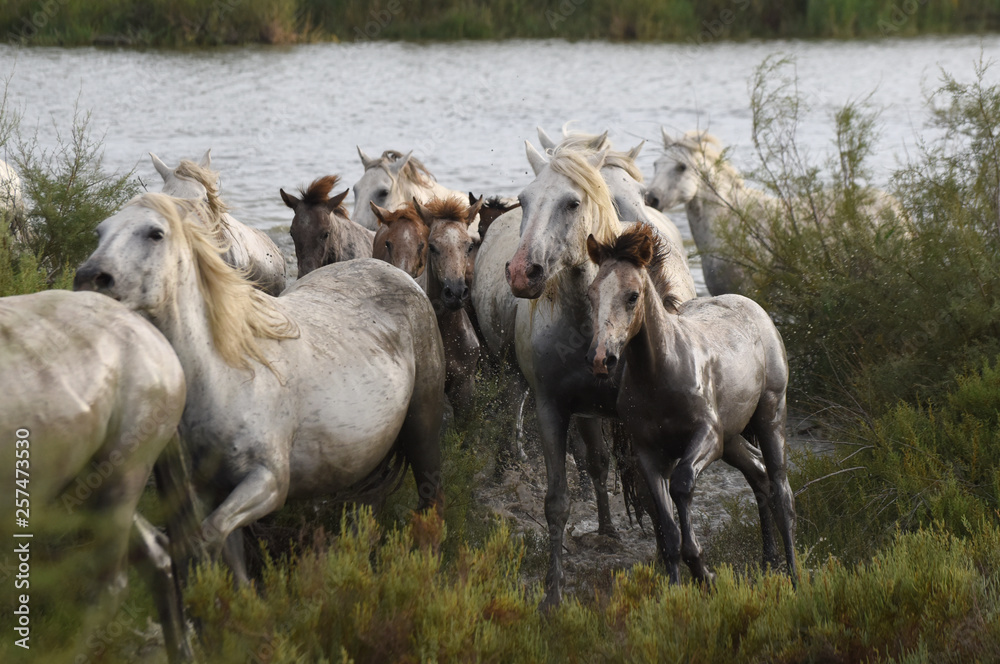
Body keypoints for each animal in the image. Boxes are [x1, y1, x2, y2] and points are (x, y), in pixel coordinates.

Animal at [75, 192, 446, 582]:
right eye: (100, 232)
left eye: (155, 233)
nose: (89, 278)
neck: (225, 373)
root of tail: (401, 275)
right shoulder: (212, 491)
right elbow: (228, 552)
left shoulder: (268, 481)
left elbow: (210, 537)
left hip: (423, 427)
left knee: (431, 499)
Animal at [485, 142, 696, 606]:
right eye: (524, 200)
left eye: (572, 202)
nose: (522, 272)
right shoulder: (552, 409)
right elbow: (558, 501)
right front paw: (552, 594)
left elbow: (652, 494)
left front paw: (666, 563)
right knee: (597, 465)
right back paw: (606, 528)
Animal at [585, 223, 798, 586]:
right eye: (591, 294)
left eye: (632, 295)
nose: (603, 359)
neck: (660, 373)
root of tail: (753, 306)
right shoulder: (648, 452)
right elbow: (667, 526)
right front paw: (678, 586)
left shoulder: (707, 437)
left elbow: (682, 485)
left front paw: (703, 570)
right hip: (733, 438)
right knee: (759, 476)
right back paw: (769, 562)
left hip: (770, 415)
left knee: (781, 489)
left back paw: (795, 576)